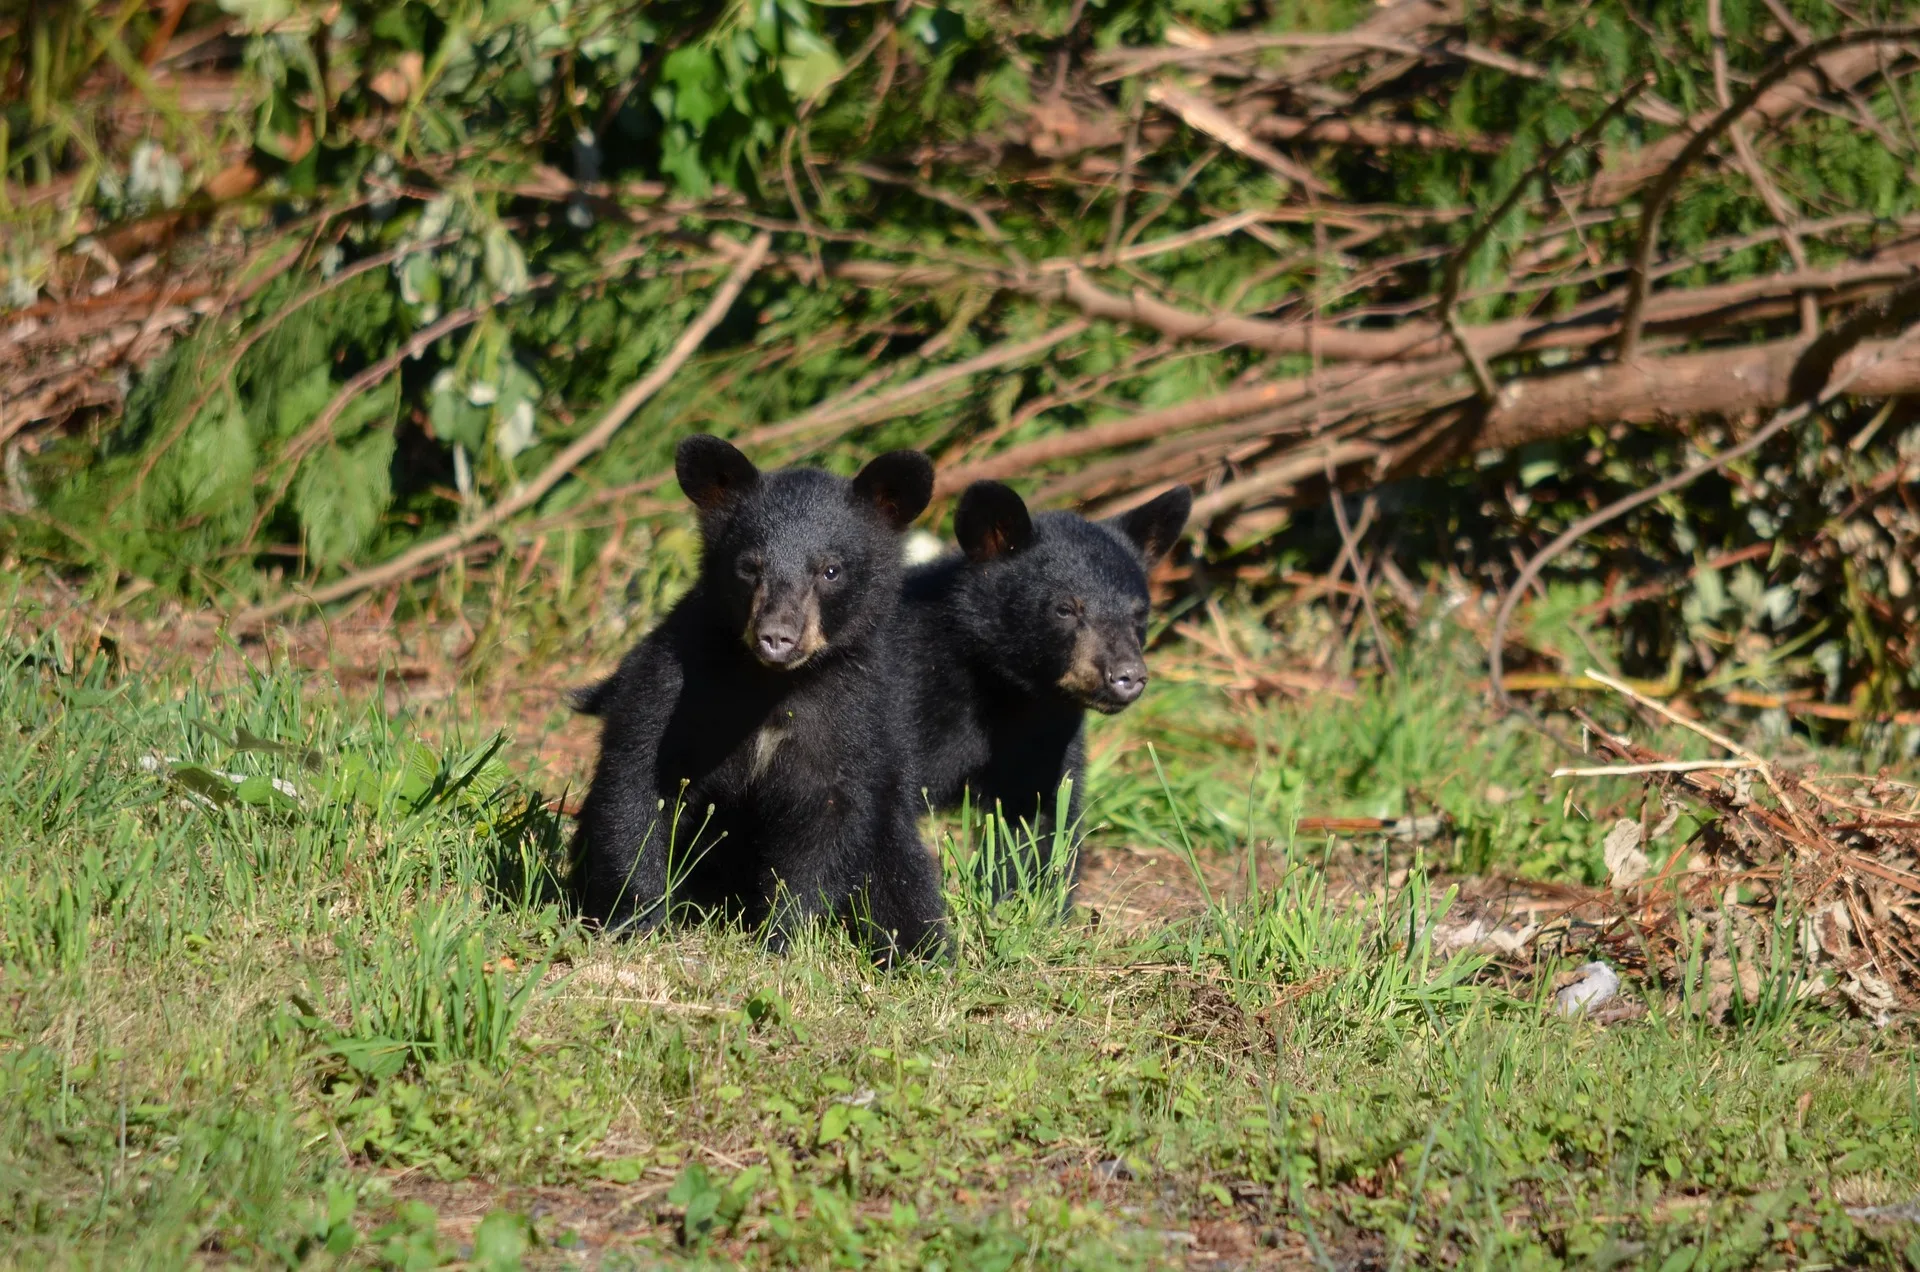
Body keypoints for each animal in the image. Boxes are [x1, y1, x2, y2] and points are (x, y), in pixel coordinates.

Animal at [569, 435, 948, 964]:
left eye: (830, 570)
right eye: (750, 567)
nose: (777, 637)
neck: (771, 685)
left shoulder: (853, 714)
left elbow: (828, 818)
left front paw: (782, 937)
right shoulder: (676, 682)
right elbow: (639, 783)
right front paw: (639, 920)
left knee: (902, 875)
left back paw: (917, 950)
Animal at [898, 480, 1191, 898]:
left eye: (1139, 613)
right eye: (1065, 609)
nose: (1127, 676)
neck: (1005, 691)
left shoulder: (1043, 738)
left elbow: (1040, 820)